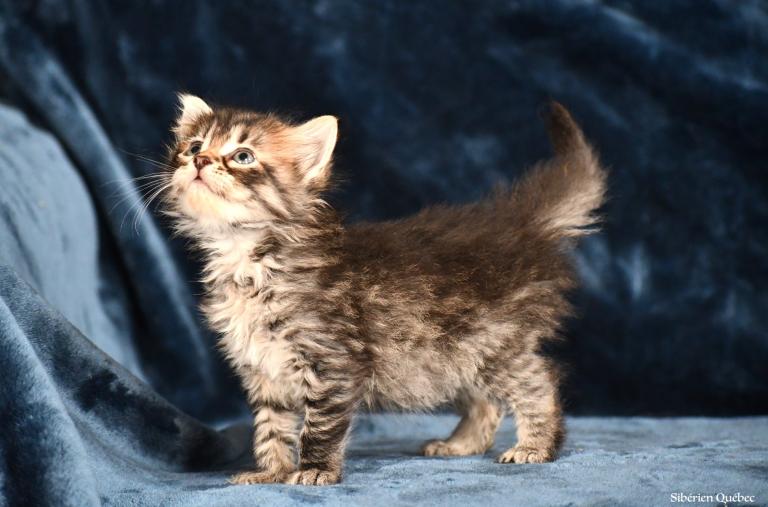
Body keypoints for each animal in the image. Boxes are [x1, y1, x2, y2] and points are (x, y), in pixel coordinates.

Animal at [160, 93, 608, 486]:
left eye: (243, 156)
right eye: (194, 145)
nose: (199, 160)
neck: (249, 257)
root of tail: (520, 227)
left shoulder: (334, 362)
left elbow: (319, 426)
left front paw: (315, 470)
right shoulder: (265, 370)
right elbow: (272, 429)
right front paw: (270, 472)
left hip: (495, 345)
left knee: (539, 382)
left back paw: (536, 446)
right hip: (449, 356)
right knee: (486, 402)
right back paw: (460, 444)